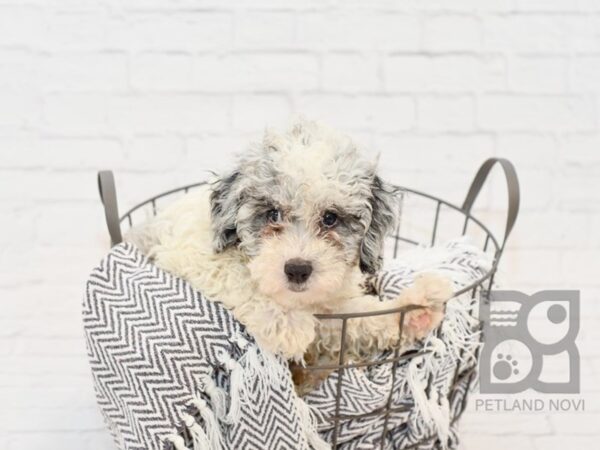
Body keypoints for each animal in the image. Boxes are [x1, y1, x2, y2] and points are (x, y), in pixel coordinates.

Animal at [127, 120, 454, 390]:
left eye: (330, 218)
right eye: (272, 213)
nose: (297, 269)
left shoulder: (330, 308)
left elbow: (361, 317)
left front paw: (415, 309)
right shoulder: (187, 255)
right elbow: (235, 275)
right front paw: (286, 322)